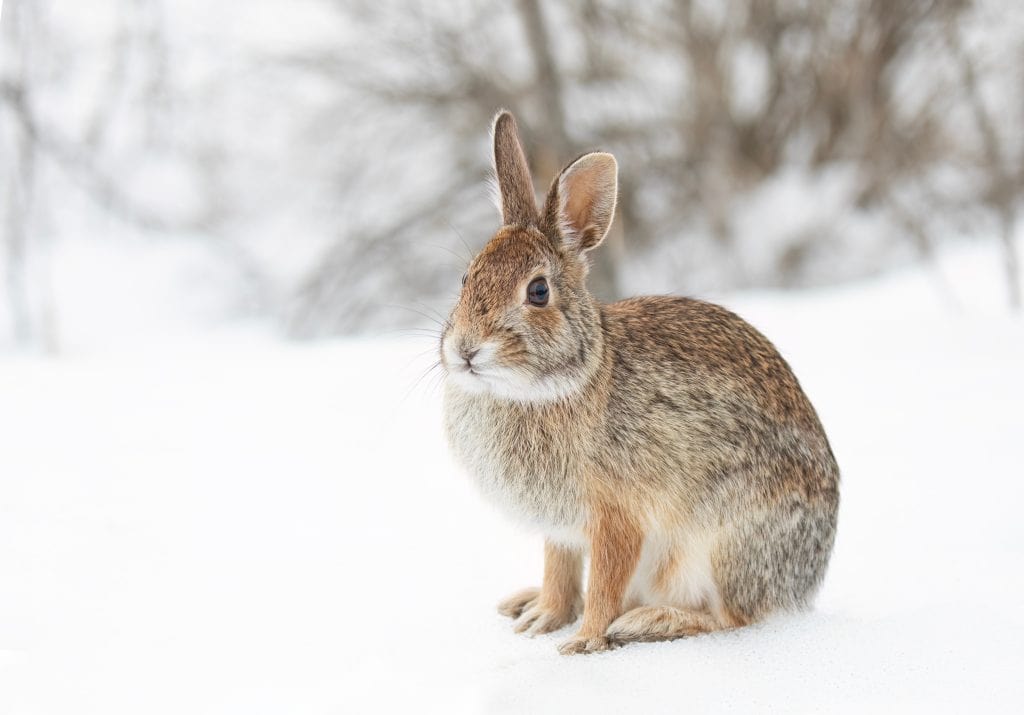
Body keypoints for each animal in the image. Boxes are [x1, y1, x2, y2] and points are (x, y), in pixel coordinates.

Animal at [440, 111, 839, 655]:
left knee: (733, 618)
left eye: (538, 291)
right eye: (465, 278)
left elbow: (605, 583)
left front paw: (581, 642)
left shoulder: (617, 516)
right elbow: (559, 570)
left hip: (722, 545)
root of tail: (807, 577)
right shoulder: (562, 530)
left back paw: (647, 622)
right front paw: (543, 617)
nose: (464, 350)